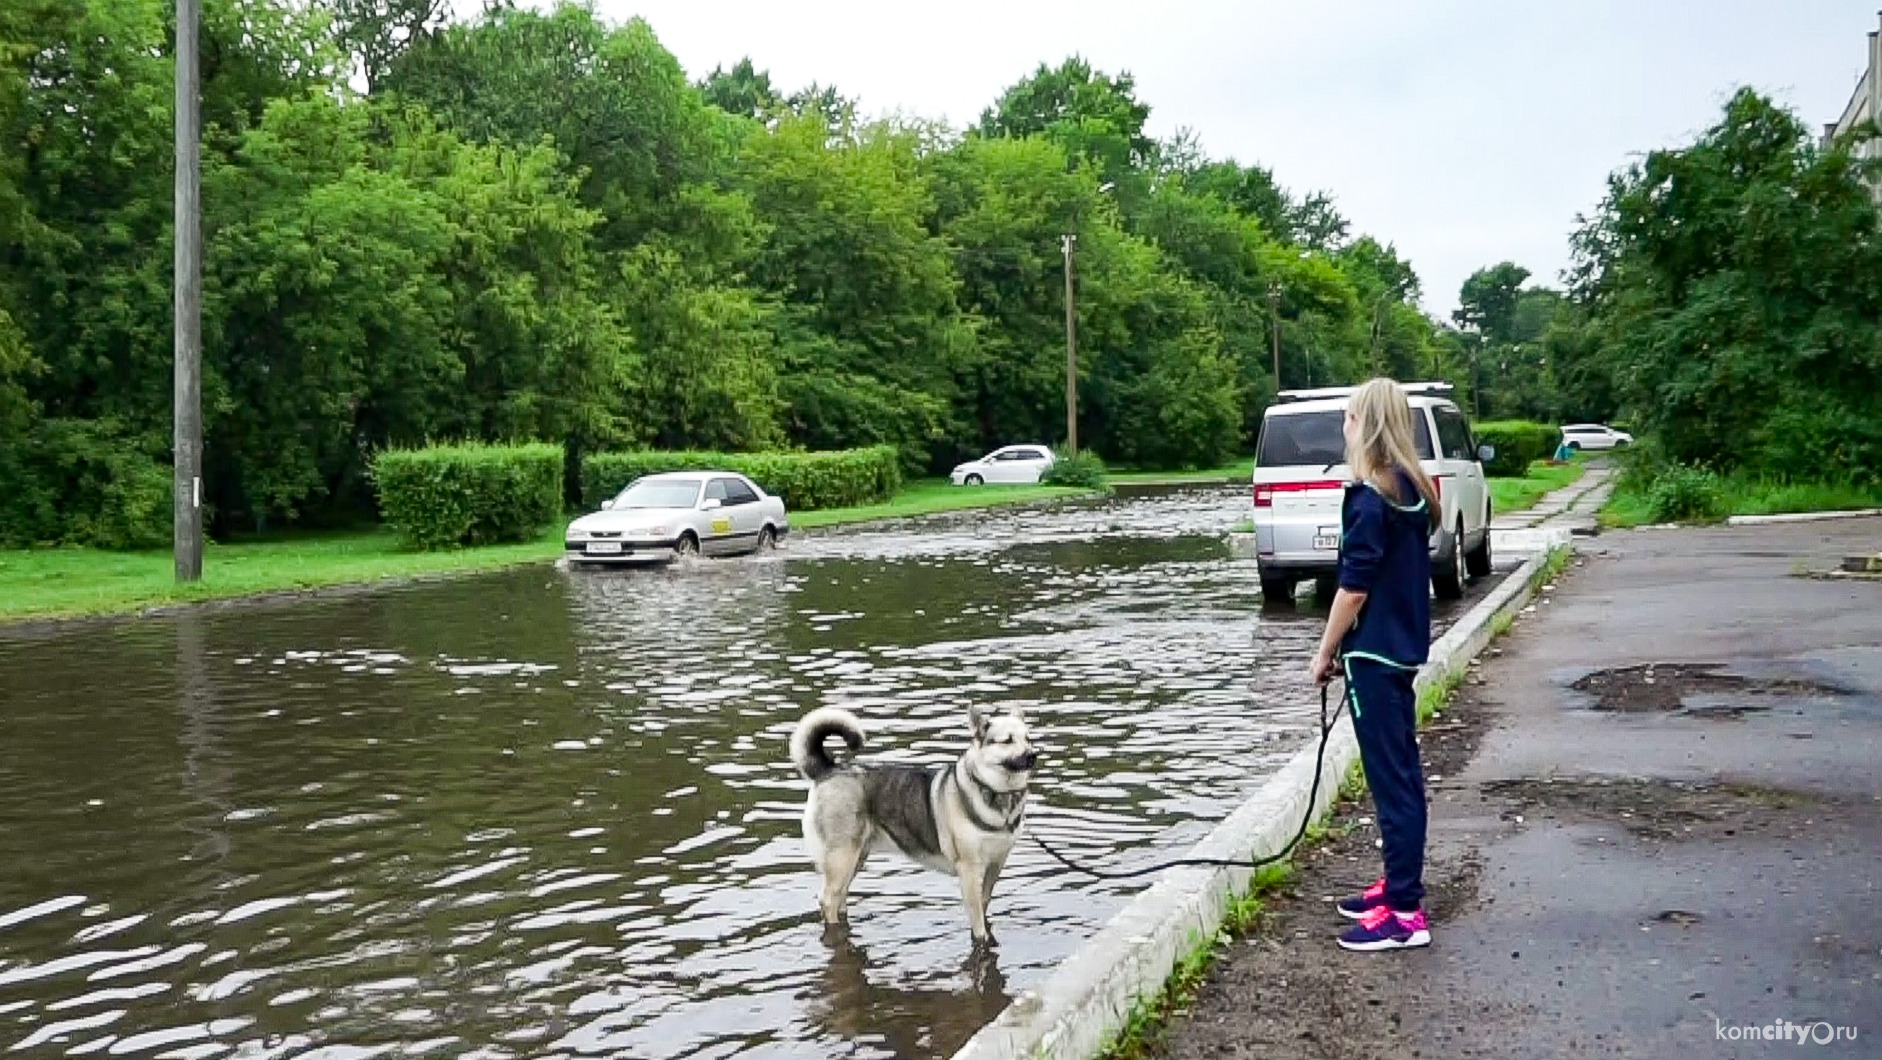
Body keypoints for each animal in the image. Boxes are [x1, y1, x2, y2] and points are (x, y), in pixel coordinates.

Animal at [786, 704, 1038, 945]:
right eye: (1007, 740)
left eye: (1028, 738)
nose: (1033, 754)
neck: (1000, 794)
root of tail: (828, 770)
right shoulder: (968, 869)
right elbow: (977, 923)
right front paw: (982, 939)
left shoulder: (996, 864)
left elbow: (984, 904)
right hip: (841, 858)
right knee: (828, 901)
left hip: (854, 859)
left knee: (840, 899)